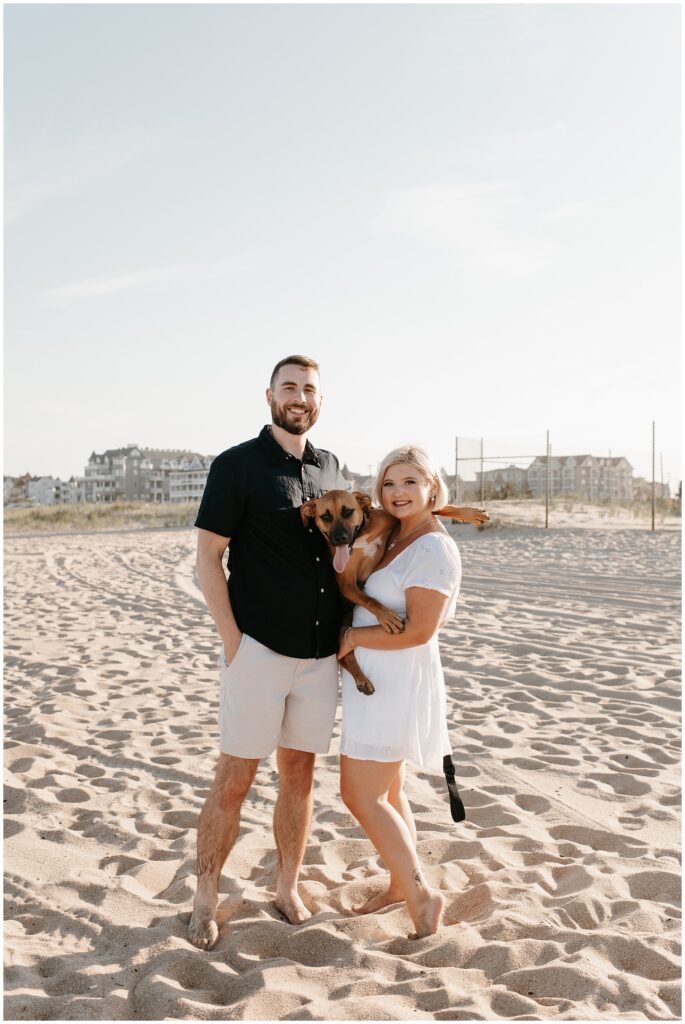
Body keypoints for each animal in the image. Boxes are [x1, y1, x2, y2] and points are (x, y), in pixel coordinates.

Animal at [298, 489, 485, 696]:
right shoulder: (347, 584)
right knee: (344, 656)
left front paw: (468, 513)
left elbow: (437, 508)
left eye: (347, 511)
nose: (340, 538)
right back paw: (362, 680)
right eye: (325, 516)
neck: (361, 535)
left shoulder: (390, 518)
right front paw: (387, 617)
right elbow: (370, 600)